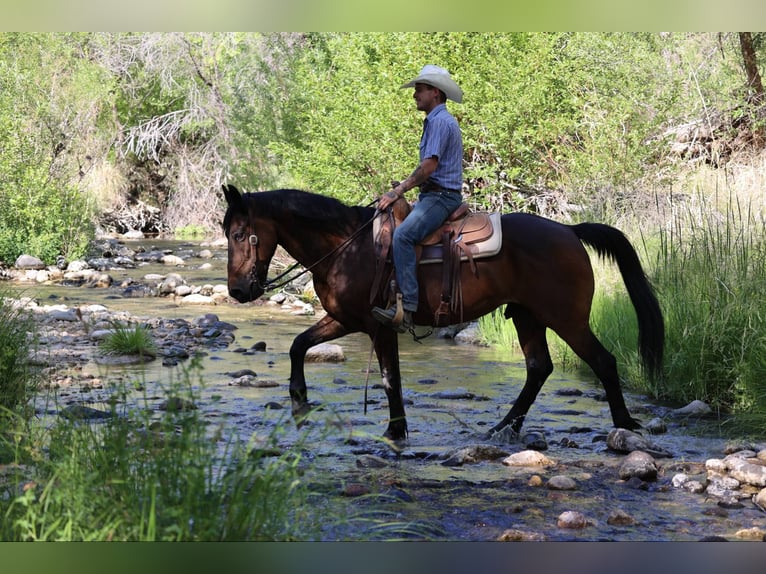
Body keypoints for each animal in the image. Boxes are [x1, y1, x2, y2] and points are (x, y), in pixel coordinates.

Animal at [222, 184, 664, 442]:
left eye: (241, 234)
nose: (239, 291)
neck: (346, 246)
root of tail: (570, 231)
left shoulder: (378, 326)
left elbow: (390, 379)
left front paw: (396, 431)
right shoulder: (346, 319)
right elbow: (298, 345)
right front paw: (299, 401)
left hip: (565, 318)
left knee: (602, 361)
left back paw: (624, 424)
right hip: (528, 315)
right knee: (539, 367)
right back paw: (504, 427)